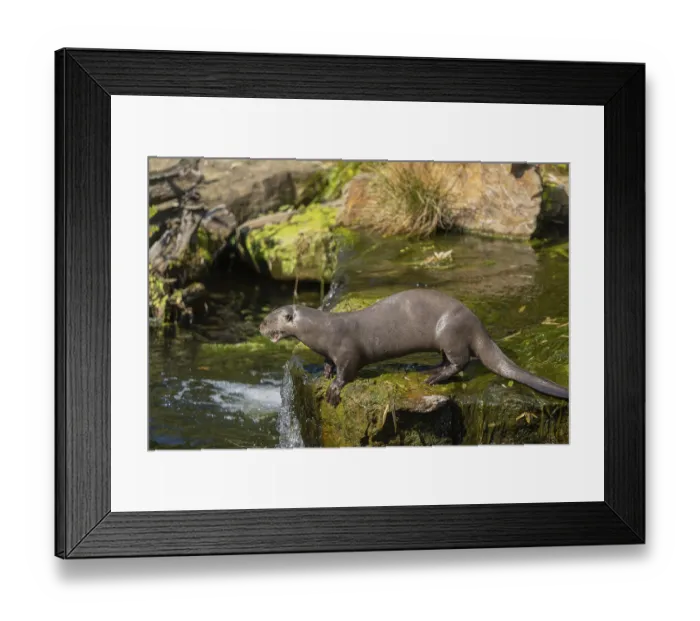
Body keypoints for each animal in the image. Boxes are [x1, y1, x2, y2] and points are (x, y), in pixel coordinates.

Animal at [259, 289, 569, 406]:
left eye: (268, 319)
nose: (260, 327)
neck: (322, 331)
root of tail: (478, 325)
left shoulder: (347, 351)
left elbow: (347, 371)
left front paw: (334, 390)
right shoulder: (329, 351)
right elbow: (328, 362)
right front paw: (324, 374)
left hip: (450, 331)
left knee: (462, 360)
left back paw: (435, 377)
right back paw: (430, 369)